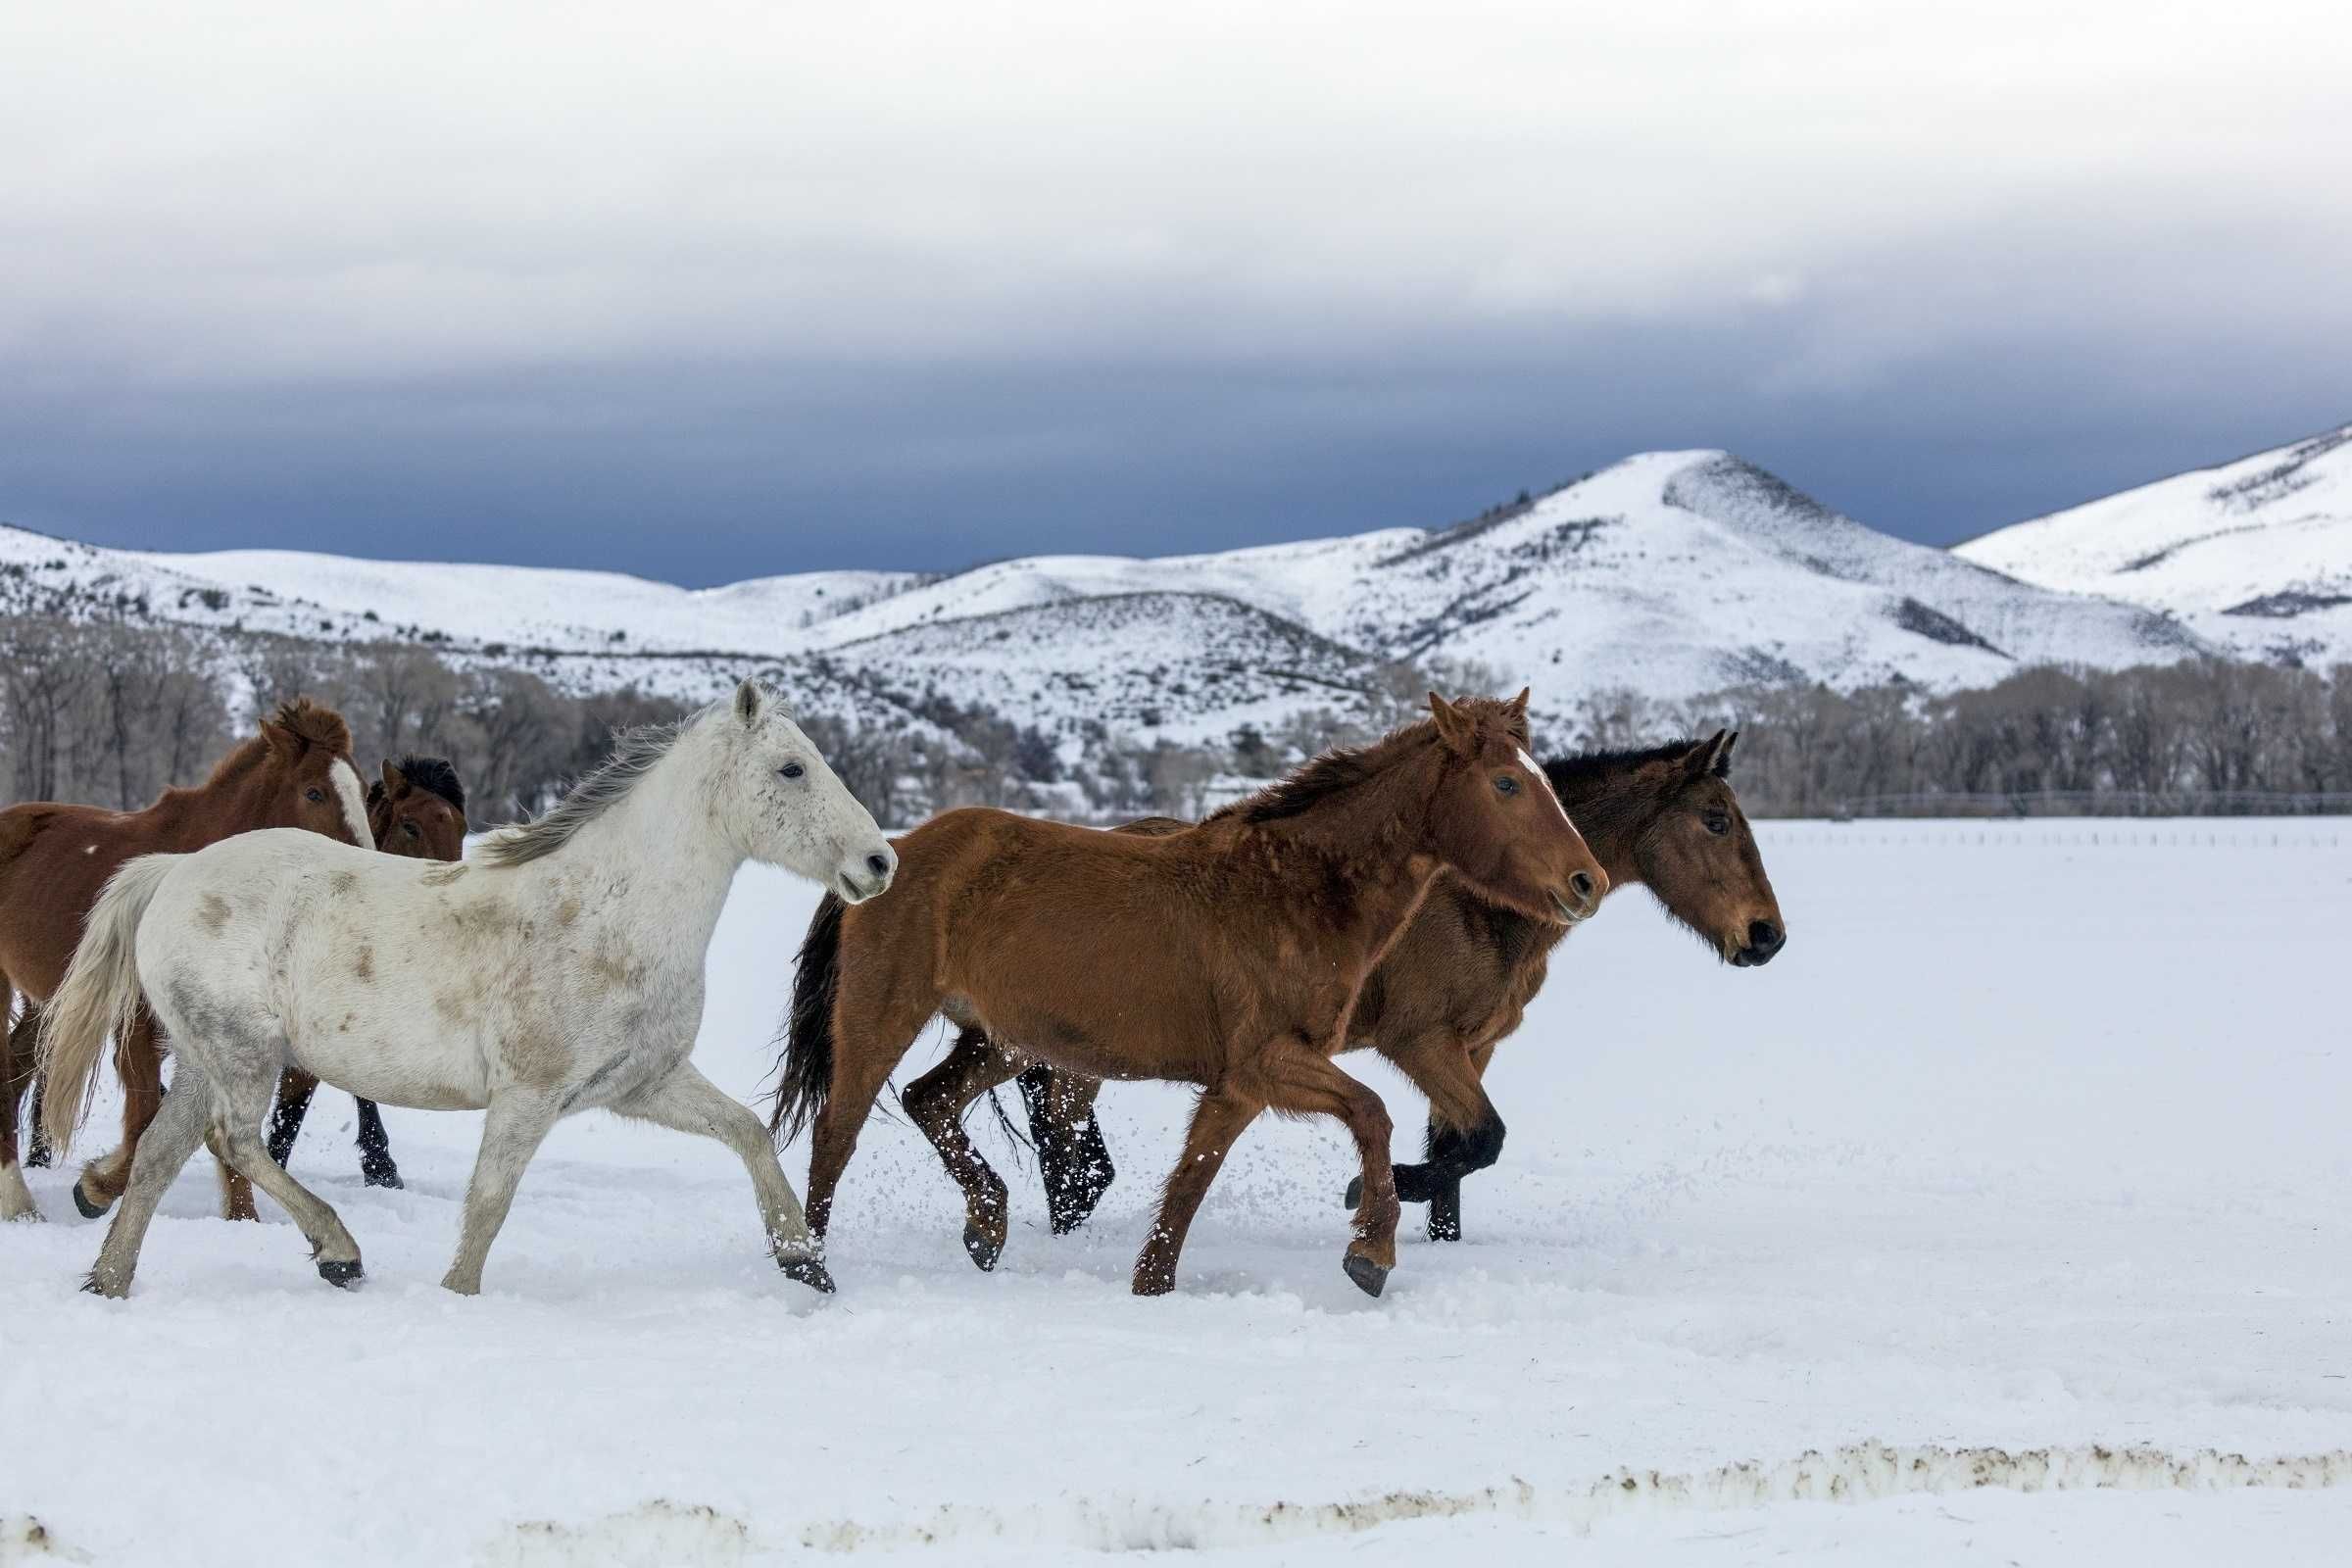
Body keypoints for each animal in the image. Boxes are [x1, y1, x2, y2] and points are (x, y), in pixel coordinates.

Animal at [0, 700, 371, 1222]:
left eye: (363, 791)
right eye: (314, 791)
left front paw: (244, 1221)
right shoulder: (136, 1027)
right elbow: (144, 1122)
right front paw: (94, 1189)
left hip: (48, 1000)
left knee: (15, 1067)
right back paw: (19, 1198)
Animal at [761, 691, 1608, 1298]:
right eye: (1506, 782)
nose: (1586, 882)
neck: (1294, 889)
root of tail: (890, 854)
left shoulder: (1241, 1084)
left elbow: (1188, 1191)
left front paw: (1153, 1289)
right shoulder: (1270, 1062)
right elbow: (1373, 1112)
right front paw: (1370, 1251)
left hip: (1002, 1040)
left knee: (927, 1099)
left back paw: (986, 1226)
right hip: (882, 1017)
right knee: (836, 1139)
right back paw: (812, 1268)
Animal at [973, 728, 1778, 1241]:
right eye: (1714, 820)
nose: (1767, 935)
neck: (1477, 900)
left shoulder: (1473, 1049)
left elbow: (1459, 1154)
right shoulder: (1422, 1042)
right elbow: (1482, 1141)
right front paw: (1371, 1191)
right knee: (1058, 1135)